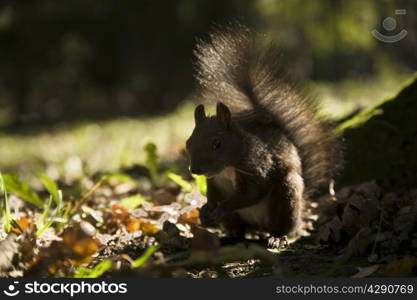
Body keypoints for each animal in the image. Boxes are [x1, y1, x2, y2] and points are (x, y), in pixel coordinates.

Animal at [185, 24, 342, 240]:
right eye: (188, 143)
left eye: (217, 144)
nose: (195, 170)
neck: (227, 167)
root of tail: (259, 227)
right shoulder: (215, 181)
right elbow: (212, 195)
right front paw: (205, 211)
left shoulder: (258, 167)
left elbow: (251, 193)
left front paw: (221, 208)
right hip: (239, 219)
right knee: (239, 229)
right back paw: (231, 237)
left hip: (286, 195)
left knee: (286, 227)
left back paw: (277, 238)